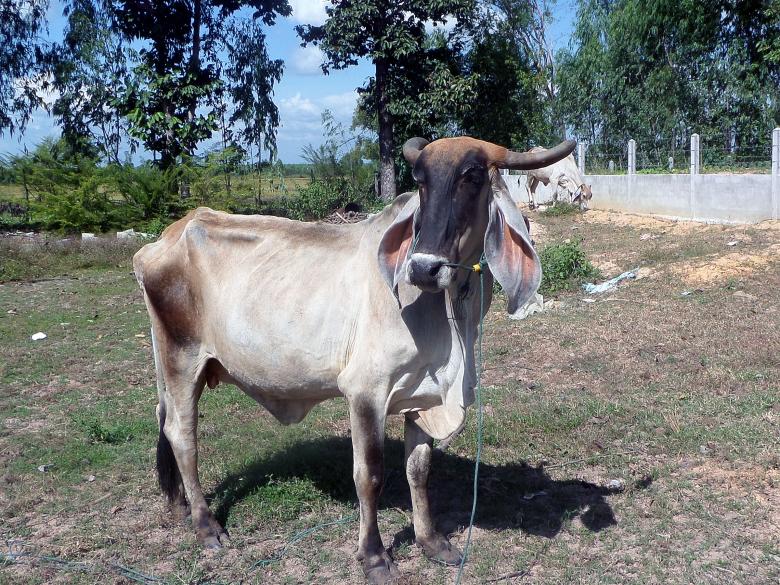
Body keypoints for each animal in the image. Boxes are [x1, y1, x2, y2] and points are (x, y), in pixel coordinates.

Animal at [133, 136, 575, 584]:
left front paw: (430, 542)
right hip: (182, 359)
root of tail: (164, 238)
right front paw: (375, 556)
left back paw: (180, 505)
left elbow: (419, 470)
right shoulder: (366, 391)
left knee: (166, 423)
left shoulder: (423, 397)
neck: (451, 312)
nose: (423, 268)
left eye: (471, 177)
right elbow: (370, 475)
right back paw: (206, 525)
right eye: (420, 181)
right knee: (181, 435)